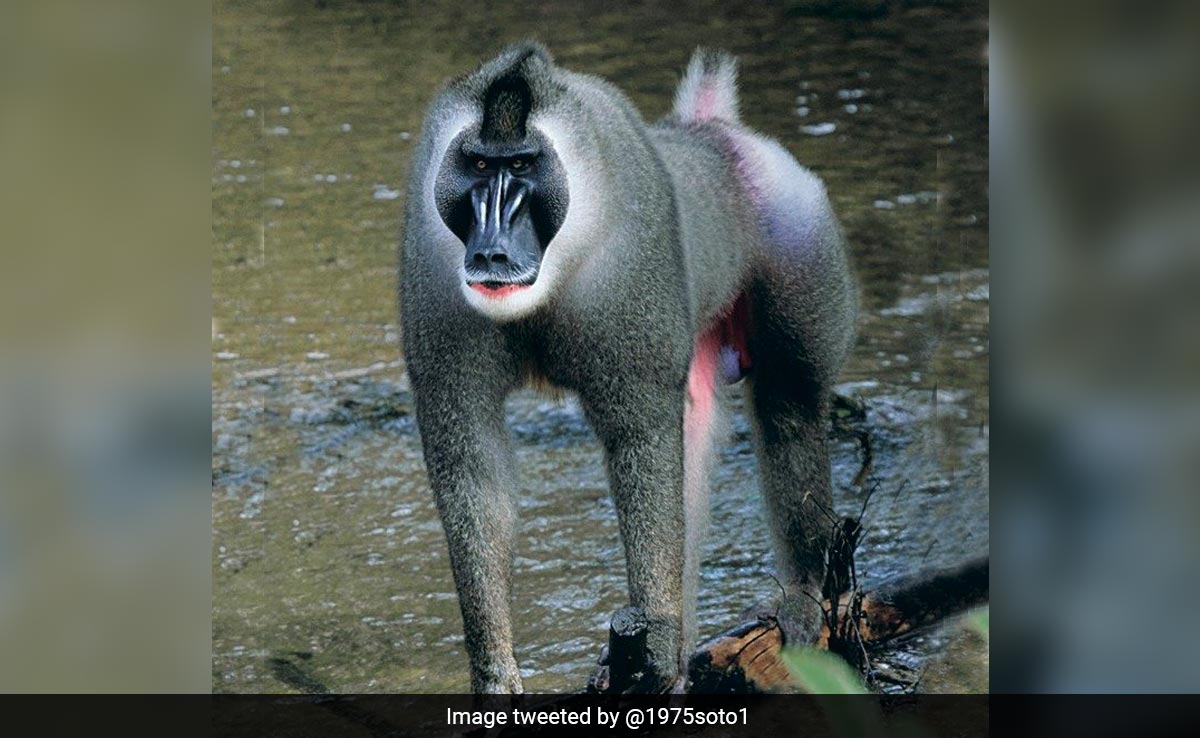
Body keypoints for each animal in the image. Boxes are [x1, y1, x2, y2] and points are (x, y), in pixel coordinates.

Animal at [399, 42, 857, 694]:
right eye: (481, 166)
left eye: (524, 165)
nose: (490, 250)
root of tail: (718, 134)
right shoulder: (438, 295)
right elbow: (472, 464)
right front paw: (495, 673)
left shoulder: (631, 299)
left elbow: (641, 442)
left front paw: (658, 641)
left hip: (800, 254)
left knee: (787, 409)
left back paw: (799, 600)